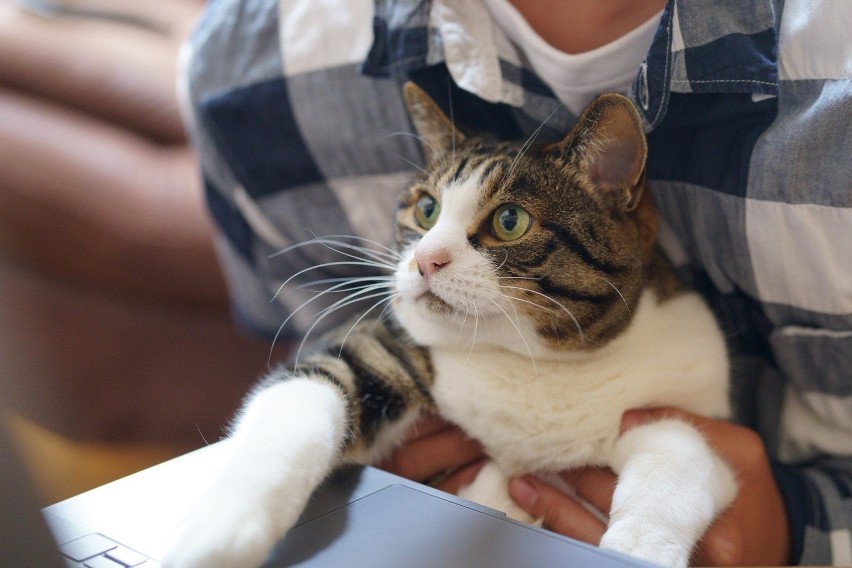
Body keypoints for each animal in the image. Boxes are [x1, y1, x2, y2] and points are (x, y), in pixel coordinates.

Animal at [163, 84, 736, 568]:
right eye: (426, 209)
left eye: (510, 221)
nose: (425, 260)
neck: (531, 363)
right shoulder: (378, 350)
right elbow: (295, 410)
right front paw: (218, 531)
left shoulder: (688, 402)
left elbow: (681, 458)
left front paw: (634, 549)